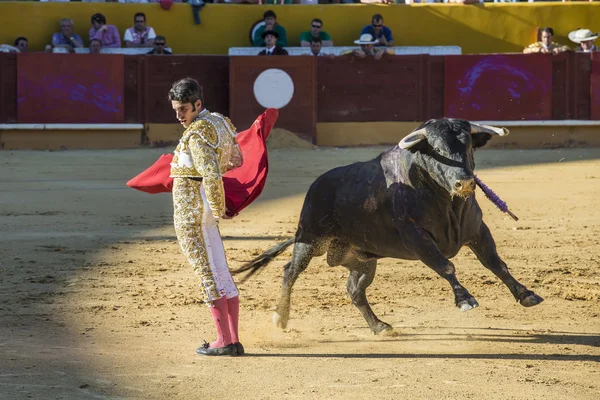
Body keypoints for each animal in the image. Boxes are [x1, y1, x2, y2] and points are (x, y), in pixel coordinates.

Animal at [231, 118, 544, 334]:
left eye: (467, 146)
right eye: (437, 150)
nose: (464, 182)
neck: (446, 202)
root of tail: (317, 185)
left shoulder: (477, 231)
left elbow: (496, 263)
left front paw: (526, 294)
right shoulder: (417, 237)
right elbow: (446, 266)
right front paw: (465, 299)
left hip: (363, 259)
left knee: (355, 289)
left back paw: (380, 326)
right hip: (310, 239)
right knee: (290, 271)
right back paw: (280, 317)